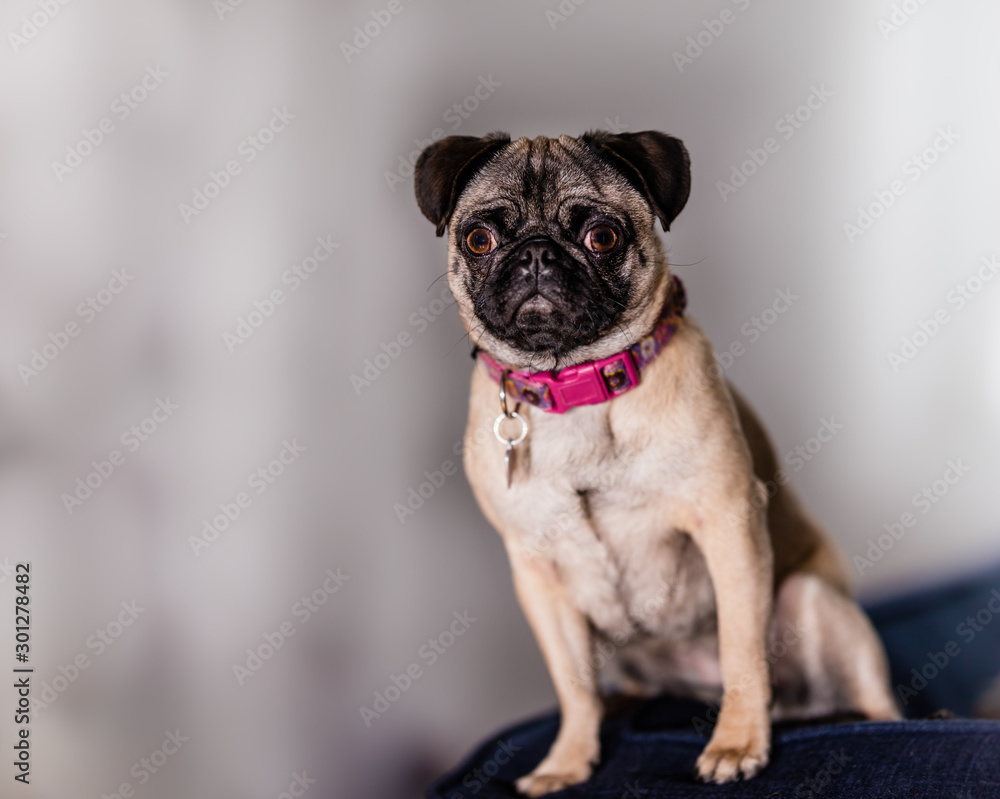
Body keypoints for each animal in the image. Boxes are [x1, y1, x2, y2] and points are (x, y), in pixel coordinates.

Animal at [414, 130, 900, 792]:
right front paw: (568, 760)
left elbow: (742, 652)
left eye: (602, 236)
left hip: (813, 602)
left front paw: (737, 743)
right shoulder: (537, 574)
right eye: (479, 240)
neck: (577, 388)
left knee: (879, 707)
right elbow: (572, 685)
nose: (537, 255)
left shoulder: (728, 527)